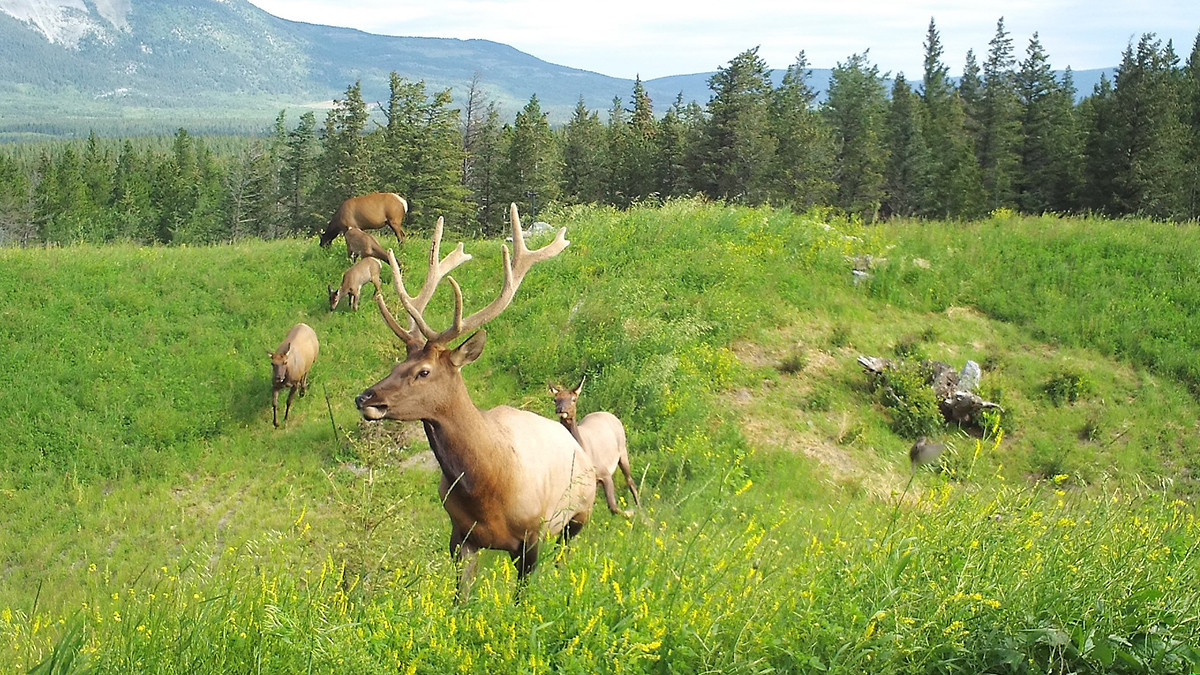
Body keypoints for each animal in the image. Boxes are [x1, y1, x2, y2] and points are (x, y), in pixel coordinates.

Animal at [354, 206, 596, 601]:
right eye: (396, 365)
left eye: (423, 371)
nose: (365, 397)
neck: (488, 487)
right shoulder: (460, 536)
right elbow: (461, 602)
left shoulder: (532, 536)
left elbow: (522, 600)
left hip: (578, 518)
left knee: (566, 556)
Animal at [549, 376, 641, 517]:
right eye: (555, 399)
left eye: (573, 399)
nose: (561, 409)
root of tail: (609, 414)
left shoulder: (605, 472)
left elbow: (613, 506)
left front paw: (630, 512)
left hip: (623, 450)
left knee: (630, 481)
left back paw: (641, 512)